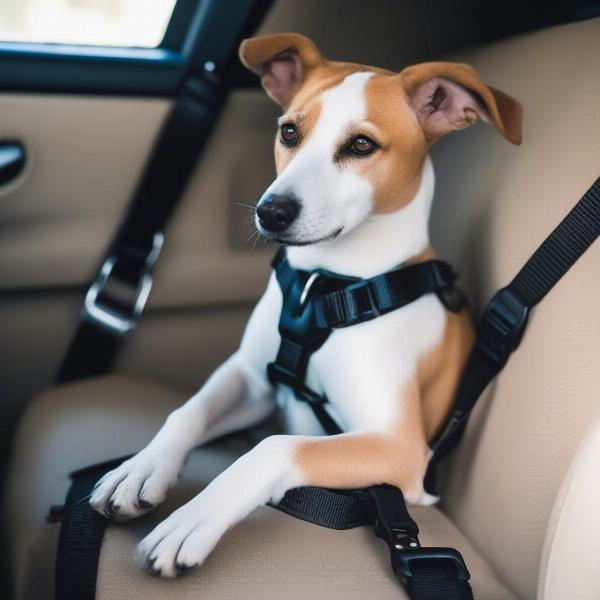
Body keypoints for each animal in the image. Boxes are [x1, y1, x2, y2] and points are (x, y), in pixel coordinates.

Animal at [88, 32, 520, 576]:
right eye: (289, 132)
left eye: (361, 145)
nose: (270, 211)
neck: (326, 286)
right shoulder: (253, 379)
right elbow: (188, 412)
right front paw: (140, 469)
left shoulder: (398, 447)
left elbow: (274, 447)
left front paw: (194, 518)